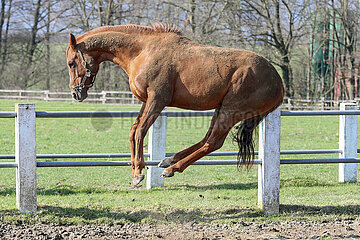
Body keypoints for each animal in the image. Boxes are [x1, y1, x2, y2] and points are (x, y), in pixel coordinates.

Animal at [66, 23, 282, 186]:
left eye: (71, 63)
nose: (76, 93)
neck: (143, 52)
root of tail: (278, 83)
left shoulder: (157, 100)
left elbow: (140, 131)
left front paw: (138, 173)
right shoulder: (146, 101)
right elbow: (133, 131)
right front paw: (135, 168)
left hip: (230, 112)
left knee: (213, 142)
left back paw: (172, 168)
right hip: (220, 110)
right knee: (206, 139)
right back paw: (169, 160)